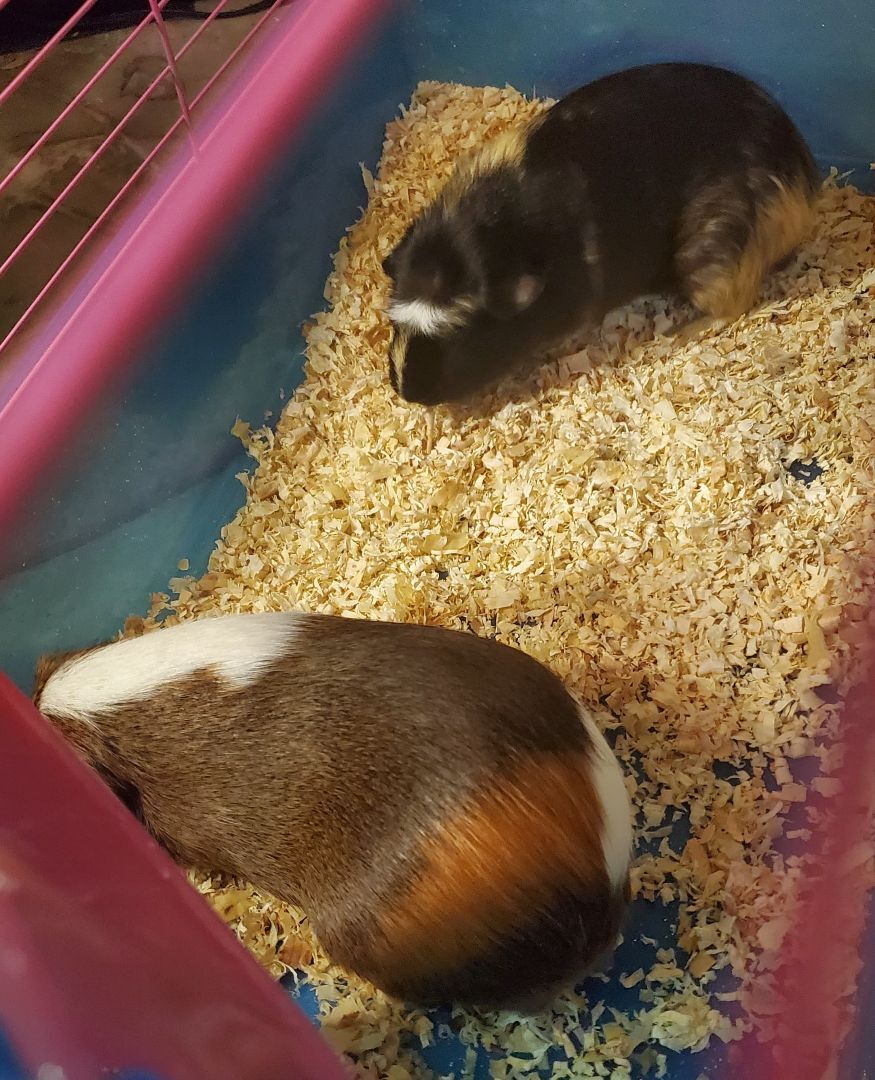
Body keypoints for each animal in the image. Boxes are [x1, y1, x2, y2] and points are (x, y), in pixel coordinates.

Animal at [383, 62, 819, 406]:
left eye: (461, 334)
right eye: (395, 321)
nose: (406, 391)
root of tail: (803, 187)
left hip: (710, 257)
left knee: (731, 308)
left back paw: (677, 335)